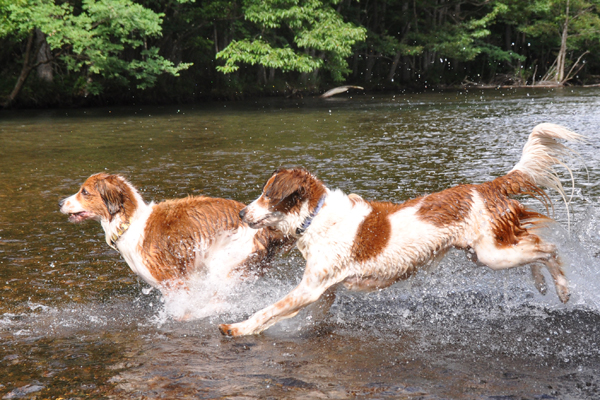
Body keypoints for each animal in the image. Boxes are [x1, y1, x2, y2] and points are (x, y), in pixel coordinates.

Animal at [57, 173, 292, 308]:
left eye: (84, 191)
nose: (59, 202)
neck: (130, 223)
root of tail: (266, 228)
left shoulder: (175, 283)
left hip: (223, 265)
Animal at [218, 123, 584, 336]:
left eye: (267, 194)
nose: (242, 212)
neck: (316, 218)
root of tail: (485, 187)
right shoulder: (324, 289)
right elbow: (305, 316)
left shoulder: (310, 287)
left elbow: (268, 310)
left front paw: (237, 327)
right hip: (486, 252)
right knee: (534, 246)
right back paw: (541, 284)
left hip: (492, 254)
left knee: (548, 248)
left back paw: (563, 288)